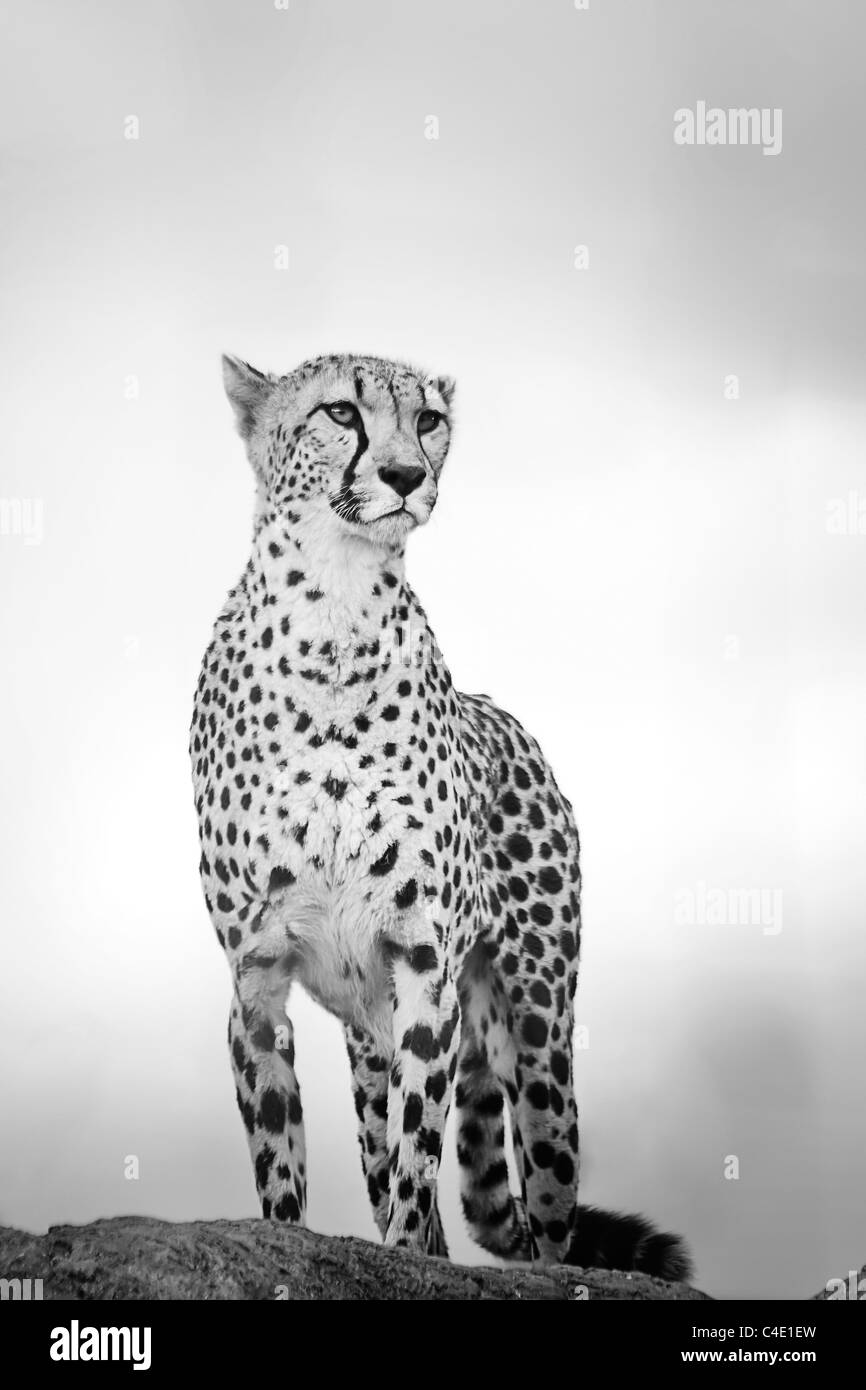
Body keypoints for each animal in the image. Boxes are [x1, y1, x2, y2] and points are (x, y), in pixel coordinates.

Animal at [190, 350, 691, 1279]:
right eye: (340, 413)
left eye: (427, 420)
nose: (404, 475)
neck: (334, 612)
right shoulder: (257, 979)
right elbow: (282, 1164)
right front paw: (290, 1238)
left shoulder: (426, 968)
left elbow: (419, 1154)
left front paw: (403, 1248)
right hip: (368, 1040)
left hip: (541, 1036)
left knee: (547, 1215)